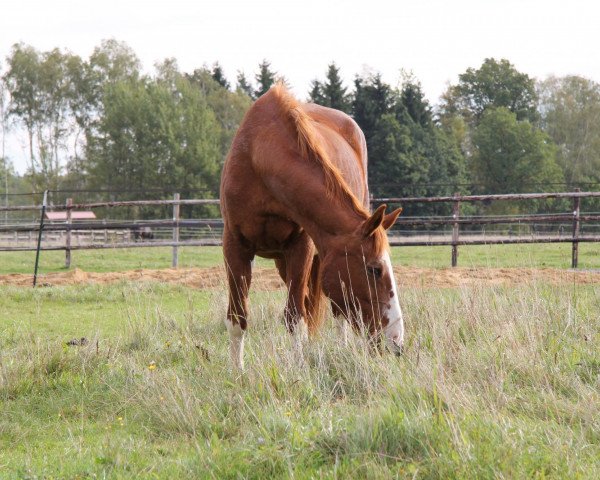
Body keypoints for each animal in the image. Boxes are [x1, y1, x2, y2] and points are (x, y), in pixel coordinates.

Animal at [219, 83, 404, 368]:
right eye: (374, 269)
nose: (396, 341)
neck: (260, 155)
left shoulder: (301, 248)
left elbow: (296, 317)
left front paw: (299, 367)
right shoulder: (235, 246)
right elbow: (238, 318)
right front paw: (237, 371)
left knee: (337, 314)